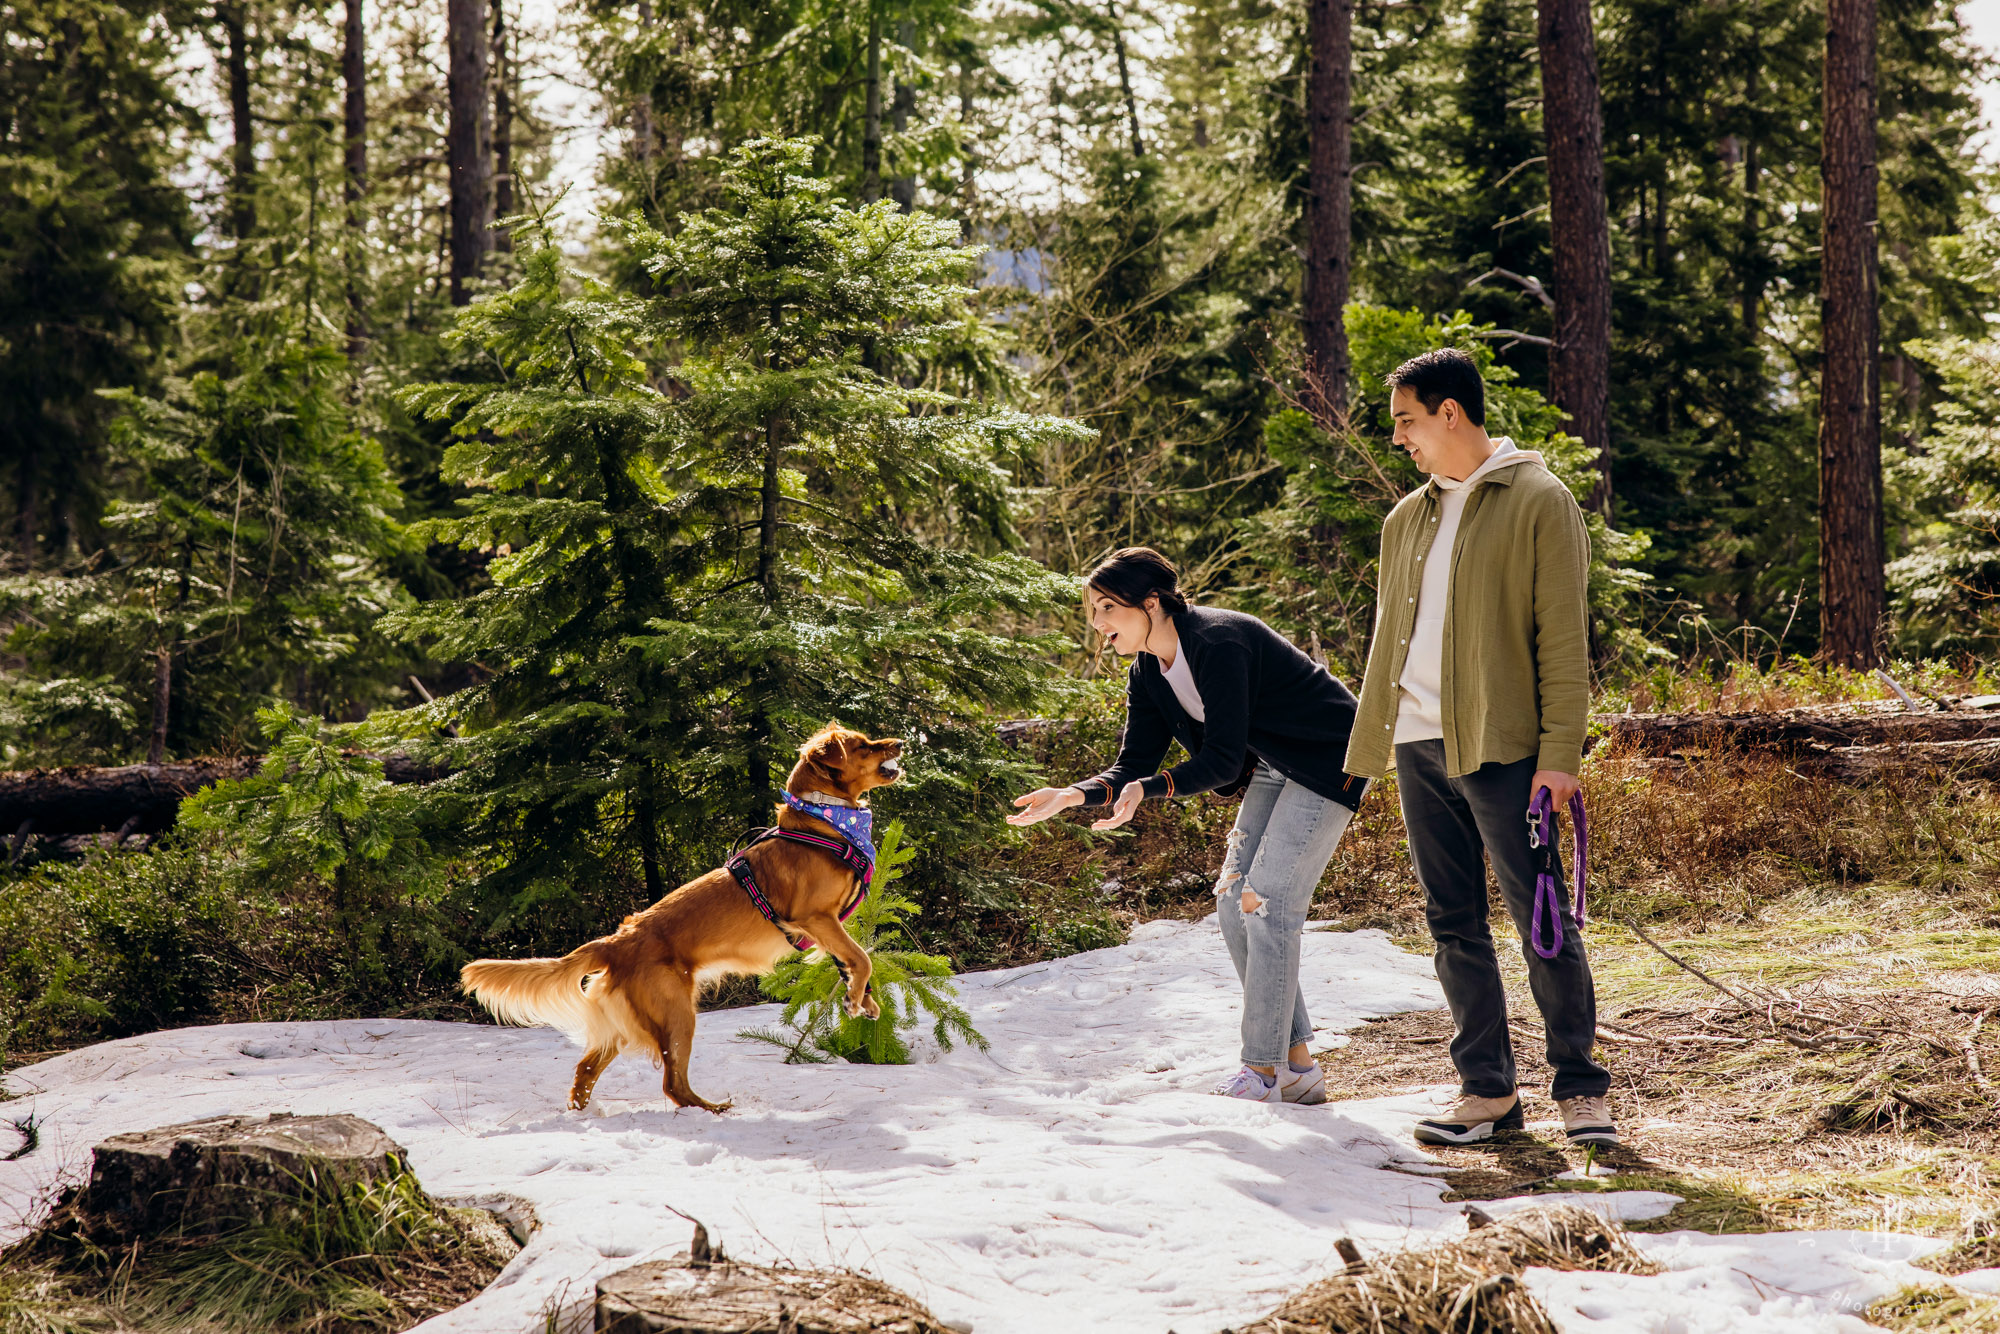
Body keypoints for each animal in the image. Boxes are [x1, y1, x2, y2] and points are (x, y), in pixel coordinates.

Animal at [458, 724, 904, 1112]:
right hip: (675, 1013)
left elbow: (850, 962)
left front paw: (863, 1002)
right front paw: (854, 1000)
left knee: (585, 1070)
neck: (825, 823)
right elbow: (861, 957)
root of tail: (615, 941)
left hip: (625, 1023)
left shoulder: (829, 927)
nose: (899, 742)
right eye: (863, 745)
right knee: (672, 1084)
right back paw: (713, 1110)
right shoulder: (815, 918)